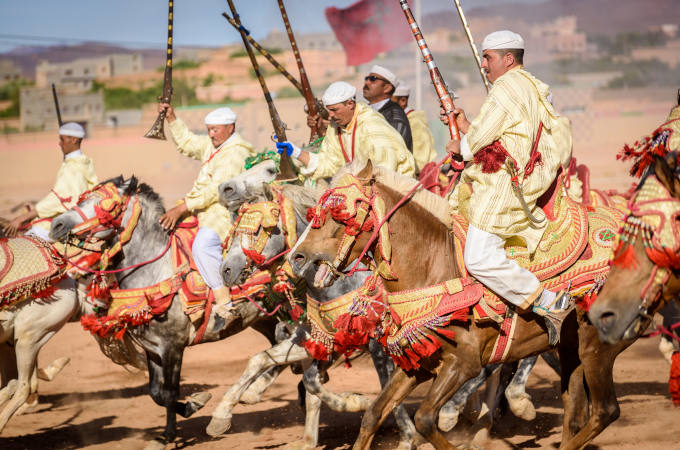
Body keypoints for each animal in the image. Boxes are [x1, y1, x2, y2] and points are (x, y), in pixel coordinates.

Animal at [292, 160, 632, 448]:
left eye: (340, 213)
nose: (297, 257)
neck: (435, 267)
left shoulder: (463, 364)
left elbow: (426, 419)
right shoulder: (419, 363)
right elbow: (374, 413)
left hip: (596, 348)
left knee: (606, 411)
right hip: (571, 348)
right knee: (575, 411)